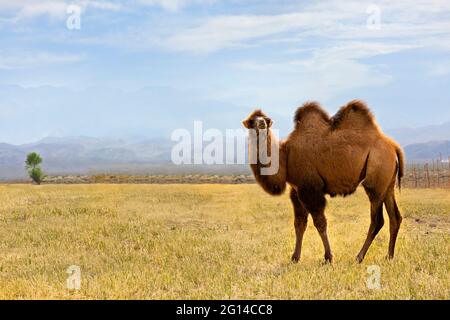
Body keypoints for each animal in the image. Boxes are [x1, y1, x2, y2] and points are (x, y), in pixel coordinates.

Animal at [243, 100, 404, 262]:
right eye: (252, 121)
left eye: (266, 119)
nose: (262, 123)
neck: (285, 156)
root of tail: (394, 147)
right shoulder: (297, 190)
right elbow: (299, 224)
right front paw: (295, 257)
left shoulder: (310, 189)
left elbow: (320, 223)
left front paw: (328, 257)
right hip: (387, 184)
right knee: (395, 217)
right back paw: (389, 256)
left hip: (375, 181)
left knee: (377, 219)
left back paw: (359, 256)